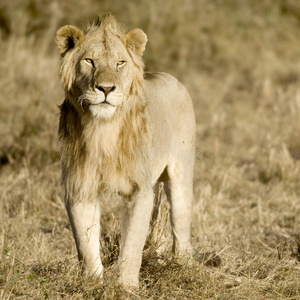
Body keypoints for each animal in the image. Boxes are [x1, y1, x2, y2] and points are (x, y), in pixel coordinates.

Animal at [54, 13, 218, 288]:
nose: (106, 89)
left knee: (181, 228)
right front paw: (93, 284)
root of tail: (170, 77)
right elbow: (86, 244)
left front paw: (126, 287)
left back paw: (183, 265)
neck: (103, 129)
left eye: (120, 63)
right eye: (89, 61)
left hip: (181, 176)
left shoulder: (139, 191)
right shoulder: (80, 187)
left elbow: (131, 244)